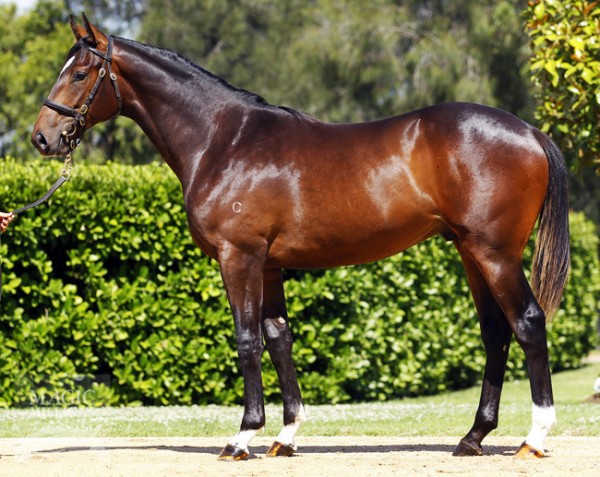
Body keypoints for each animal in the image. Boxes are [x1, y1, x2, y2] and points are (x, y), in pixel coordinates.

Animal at [31, 16, 568, 460]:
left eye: (79, 74)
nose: (42, 138)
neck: (223, 140)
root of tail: (529, 131)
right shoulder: (268, 266)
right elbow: (278, 338)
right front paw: (285, 437)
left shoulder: (238, 257)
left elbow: (247, 339)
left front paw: (242, 437)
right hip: (470, 252)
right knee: (496, 332)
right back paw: (473, 437)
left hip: (494, 253)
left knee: (527, 322)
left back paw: (533, 438)